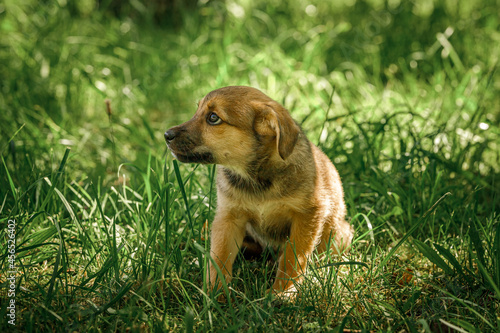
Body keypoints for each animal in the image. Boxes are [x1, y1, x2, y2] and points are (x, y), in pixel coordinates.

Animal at [164, 86, 352, 296]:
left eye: (213, 118)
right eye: (197, 111)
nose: (166, 135)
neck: (256, 179)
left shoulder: (307, 215)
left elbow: (293, 258)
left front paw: (282, 292)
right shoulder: (228, 217)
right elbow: (219, 257)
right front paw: (215, 294)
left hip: (340, 235)